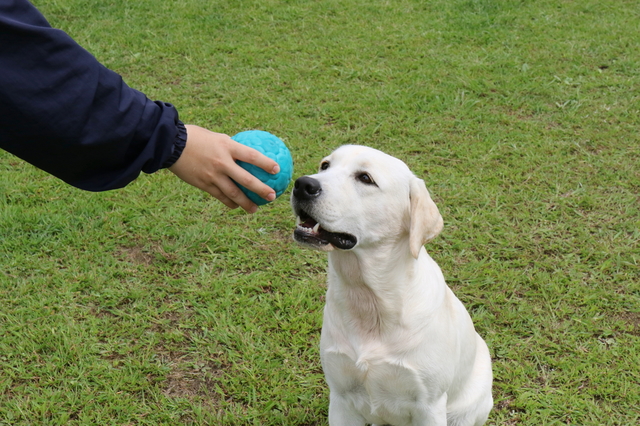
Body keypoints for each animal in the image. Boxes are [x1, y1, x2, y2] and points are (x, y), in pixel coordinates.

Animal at [292, 146, 496, 426]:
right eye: (325, 166)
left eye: (365, 178)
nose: (302, 184)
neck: (369, 298)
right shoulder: (341, 398)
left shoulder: (429, 405)